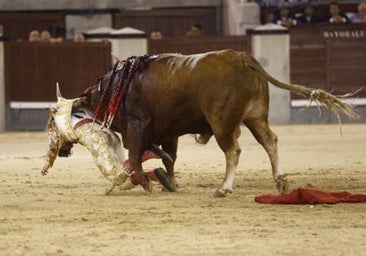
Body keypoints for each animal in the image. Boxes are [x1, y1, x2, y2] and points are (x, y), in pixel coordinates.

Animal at [79, 49, 358, 196]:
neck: (119, 87)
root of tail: (244, 58)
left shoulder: (137, 127)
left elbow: (136, 156)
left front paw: (146, 182)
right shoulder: (170, 132)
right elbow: (170, 158)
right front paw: (170, 182)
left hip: (222, 123)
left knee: (233, 151)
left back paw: (224, 188)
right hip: (255, 117)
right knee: (270, 141)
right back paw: (280, 181)